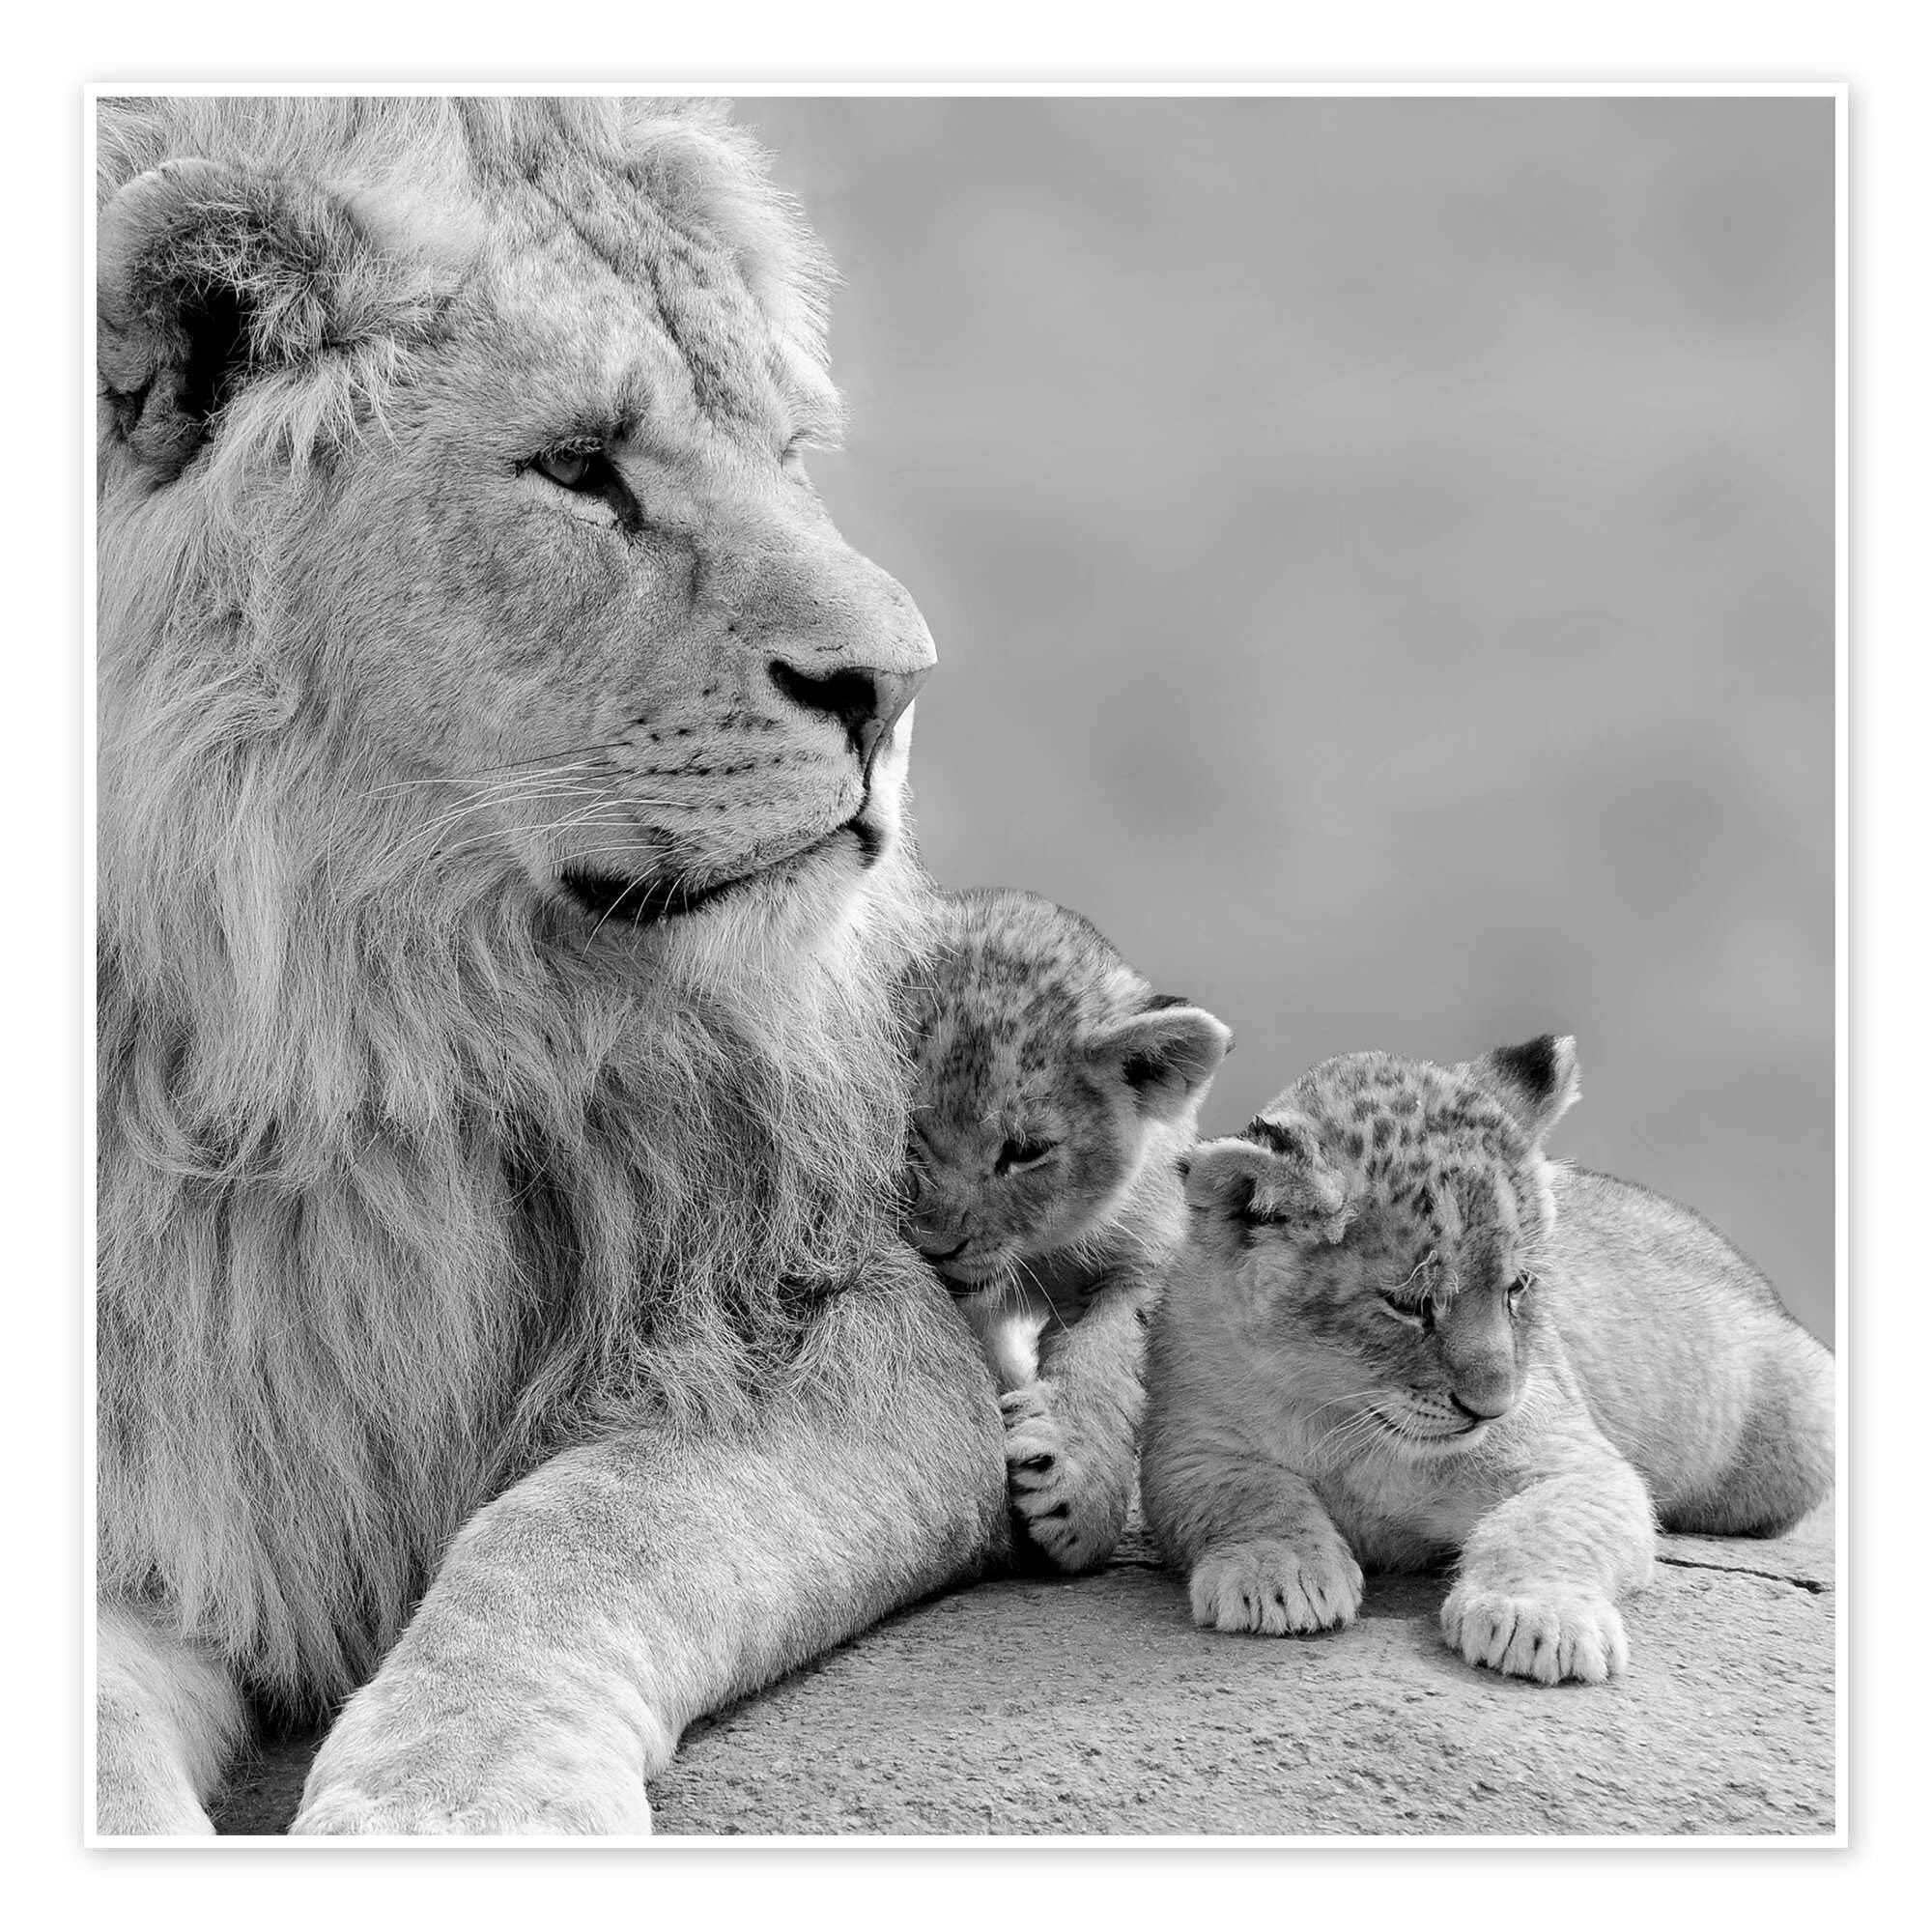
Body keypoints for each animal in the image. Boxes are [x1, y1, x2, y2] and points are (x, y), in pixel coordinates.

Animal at [94, 95, 1011, 1836]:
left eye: (788, 454)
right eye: (579, 468)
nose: (903, 685)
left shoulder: (837, 1322)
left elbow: (577, 1529)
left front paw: (462, 1810)